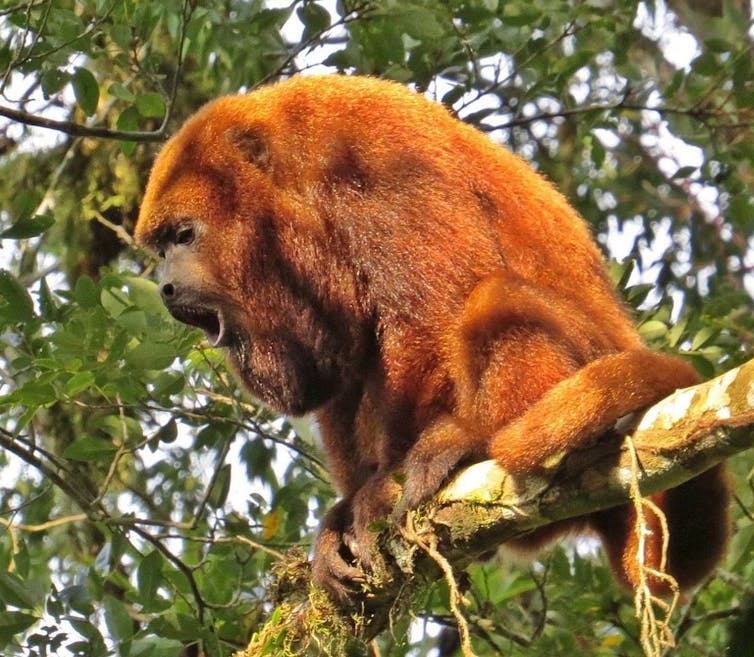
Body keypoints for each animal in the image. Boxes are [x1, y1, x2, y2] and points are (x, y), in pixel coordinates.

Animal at [135, 74, 728, 604]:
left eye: (184, 235)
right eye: (160, 247)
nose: (163, 287)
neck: (297, 180)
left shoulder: (377, 160)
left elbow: (433, 309)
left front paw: (383, 490)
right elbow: (340, 373)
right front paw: (346, 513)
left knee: (495, 297)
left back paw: (472, 439)